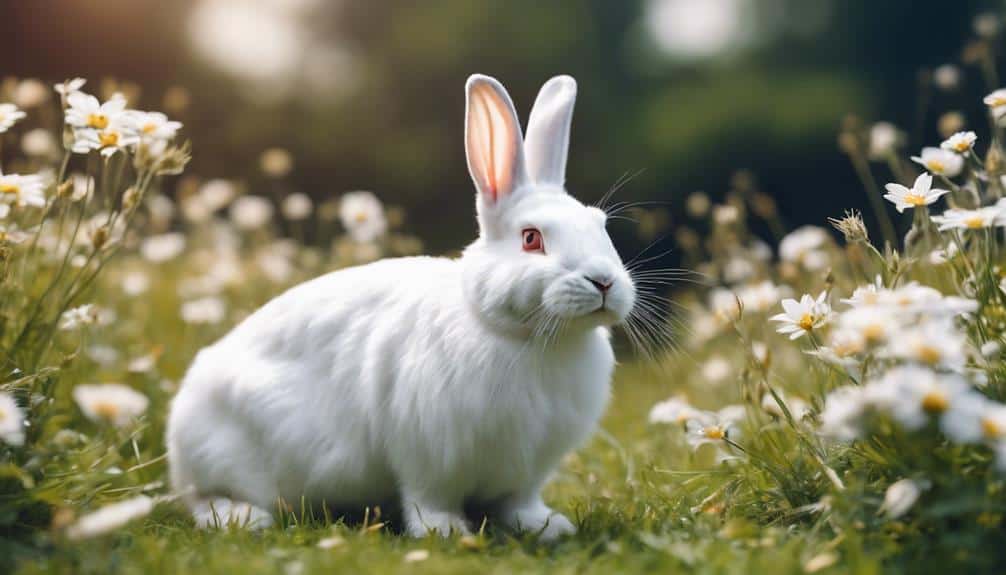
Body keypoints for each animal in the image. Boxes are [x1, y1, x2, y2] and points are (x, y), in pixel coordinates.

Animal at [165, 74, 636, 540]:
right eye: (531, 238)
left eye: (601, 225)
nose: (604, 281)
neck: (521, 336)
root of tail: (178, 432)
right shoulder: (430, 453)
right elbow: (429, 499)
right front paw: (446, 531)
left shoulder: (526, 471)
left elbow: (518, 502)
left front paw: (547, 526)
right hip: (227, 458)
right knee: (203, 500)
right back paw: (245, 518)